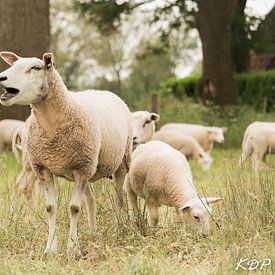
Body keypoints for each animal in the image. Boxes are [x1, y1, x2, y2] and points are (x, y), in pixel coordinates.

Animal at [0, 51, 133, 256]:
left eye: (36, 68)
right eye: (13, 65)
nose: (2, 77)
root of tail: (102, 91)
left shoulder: (81, 168)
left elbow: (74, 208)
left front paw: (73, 248)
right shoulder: (44, 168)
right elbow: (50, 207)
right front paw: (50, 248)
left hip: (120, 162)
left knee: (119, 198)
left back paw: (119, 230)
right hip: (88, 167)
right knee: (91, 199)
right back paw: (93, 232)